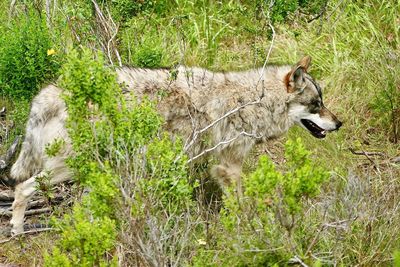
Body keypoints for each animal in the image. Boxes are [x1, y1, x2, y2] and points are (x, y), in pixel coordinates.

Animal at [7, 56, 342, 234]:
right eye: (316, 104)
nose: (339, 124)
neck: (251, 101)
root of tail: (49, 92)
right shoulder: (228, 167)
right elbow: (243, 206)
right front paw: (253, 231)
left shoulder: (218, 168)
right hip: (70, 168)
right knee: (21, 188)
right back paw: (17, 229)